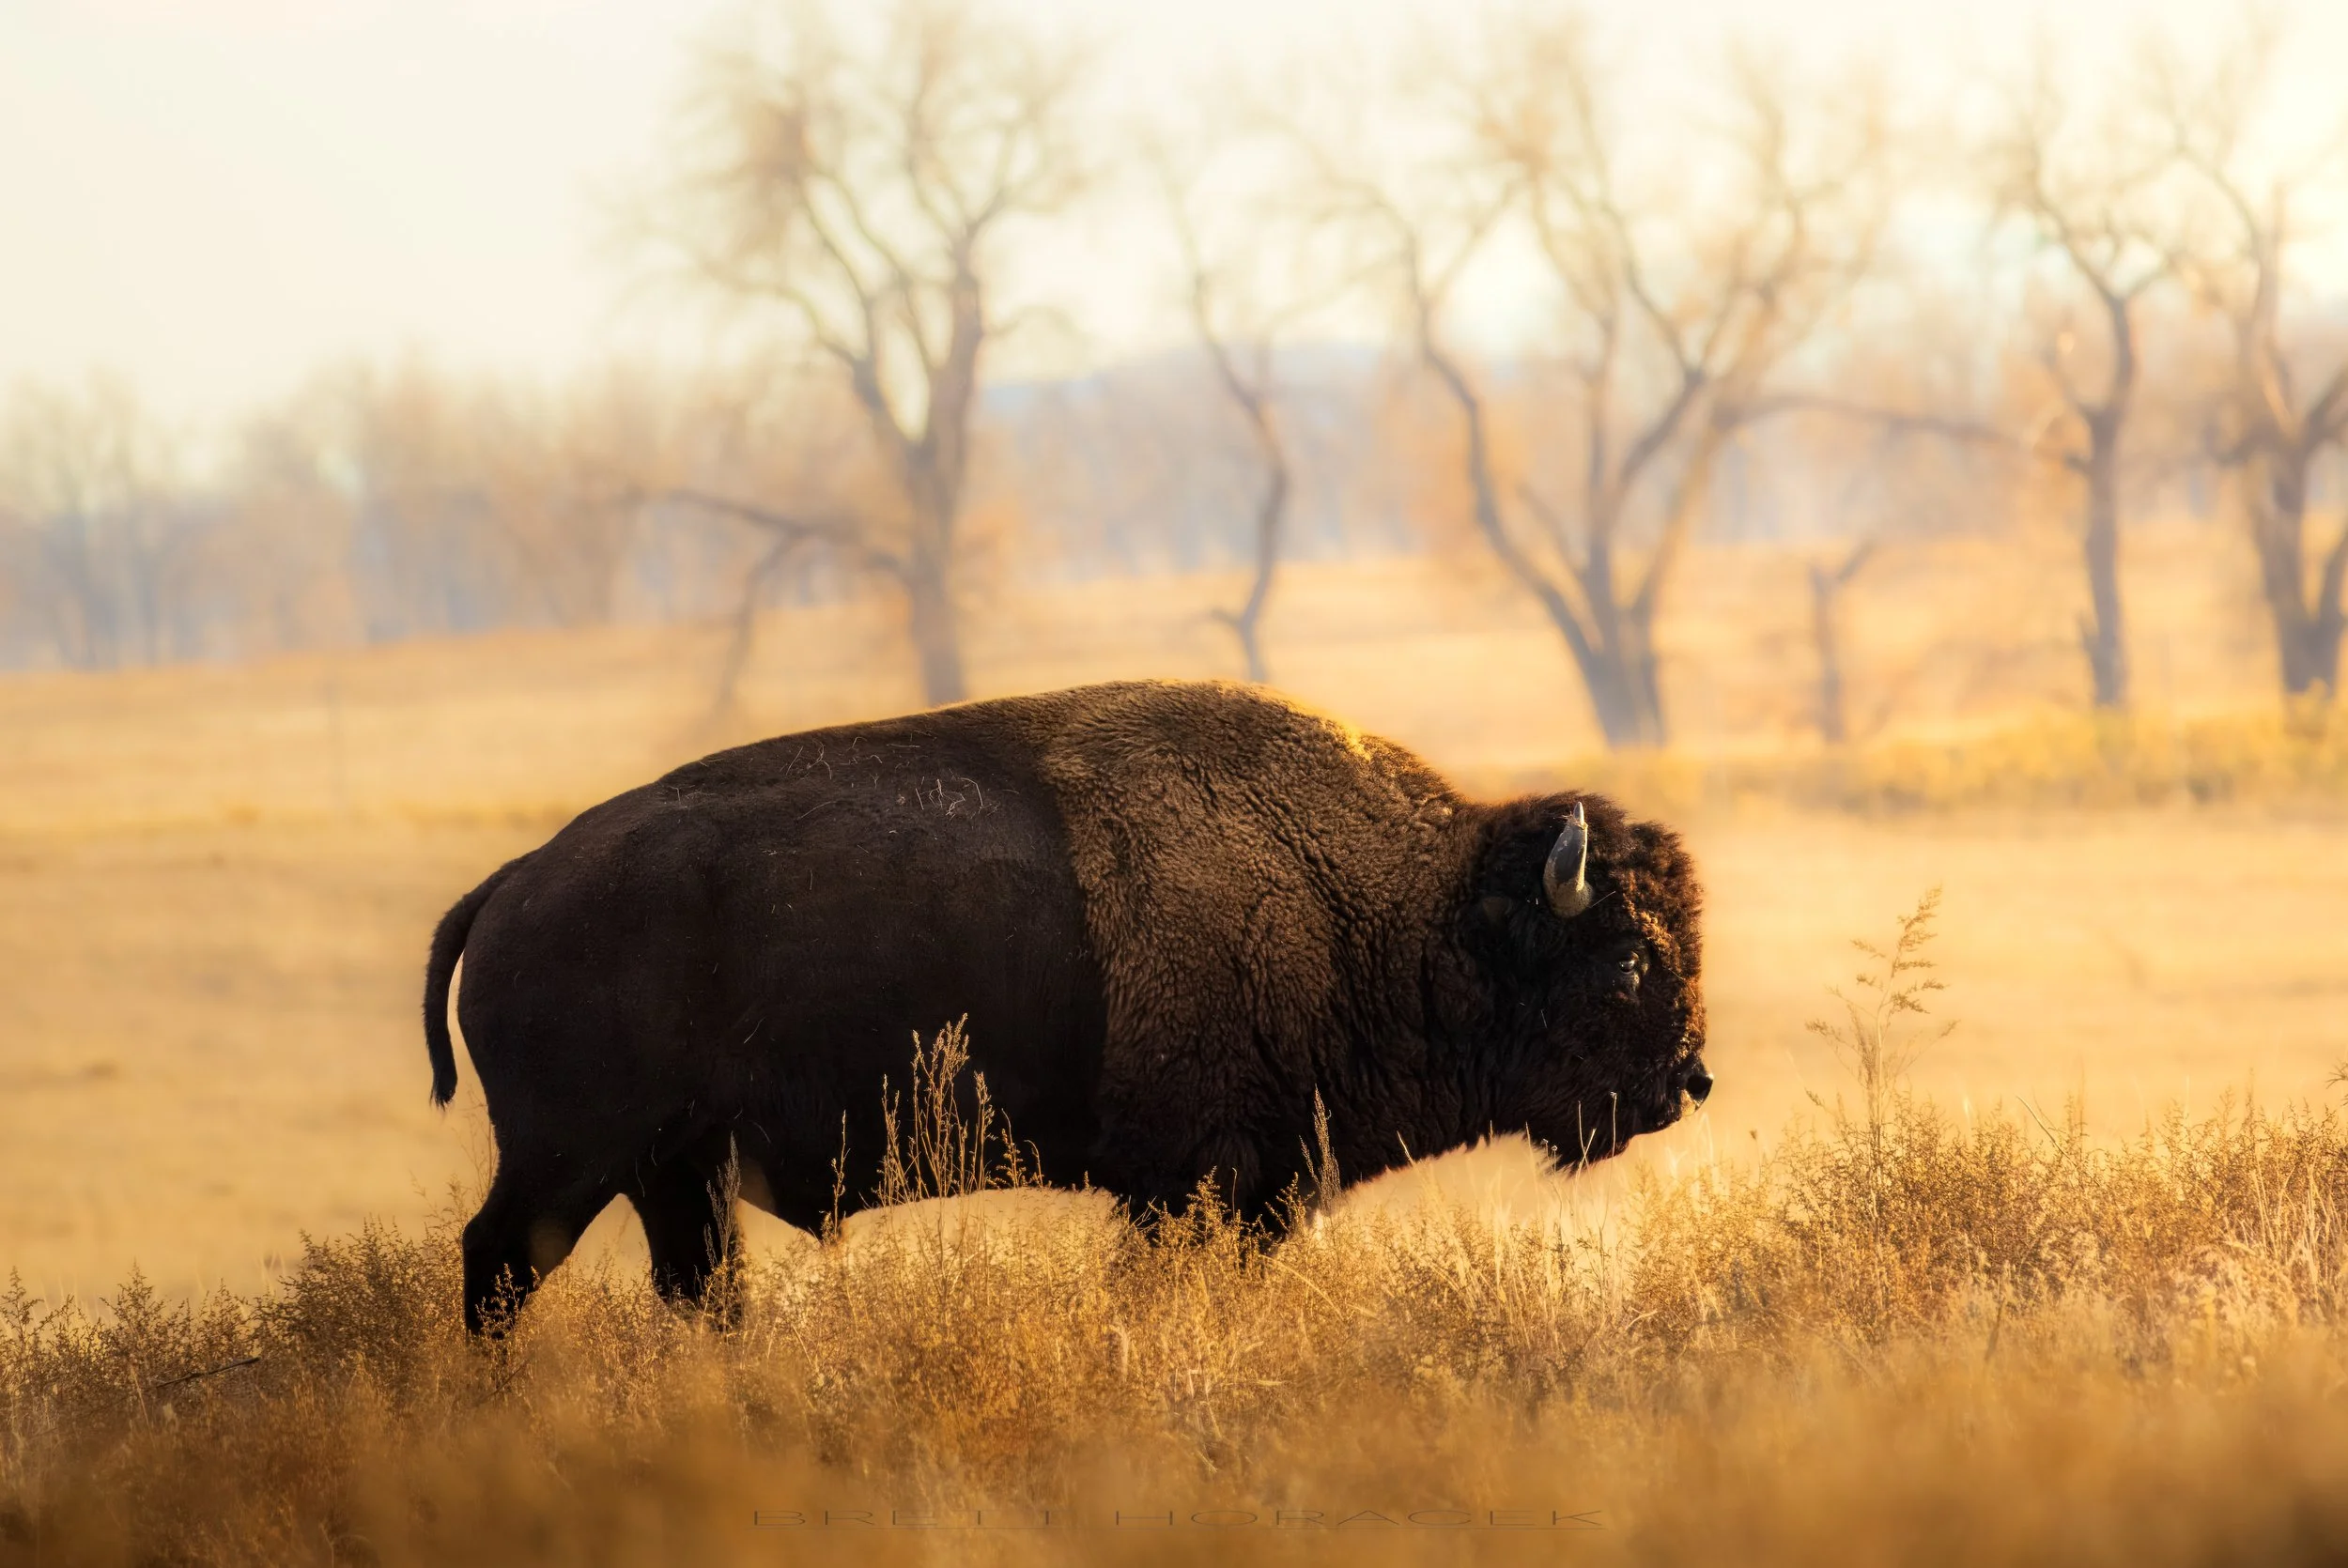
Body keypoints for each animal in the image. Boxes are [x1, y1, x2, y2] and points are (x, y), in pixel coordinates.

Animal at [424, 679, 1710, 1331]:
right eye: (1627, 961)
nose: (1688, 1080)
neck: (1401, 905)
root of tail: (513, 883)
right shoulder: (1195, 1184)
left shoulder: (1251, 1190)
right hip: (570, 1157)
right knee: (498, 1263)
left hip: (672, 1170)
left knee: (697, 1290)